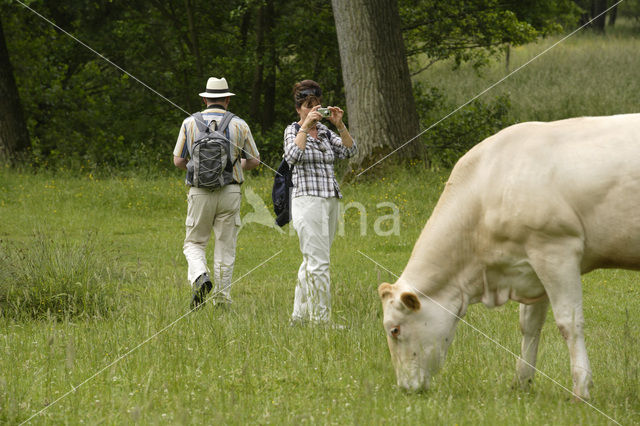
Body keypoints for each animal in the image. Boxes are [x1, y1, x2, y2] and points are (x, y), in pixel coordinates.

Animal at [378, 114, 640, 400]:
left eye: (394, 329)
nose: (405, 387)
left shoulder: (555, 250)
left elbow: (568, 323)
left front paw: (581, 389)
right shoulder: (531, 264)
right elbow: (530, 325)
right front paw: (522, 382)